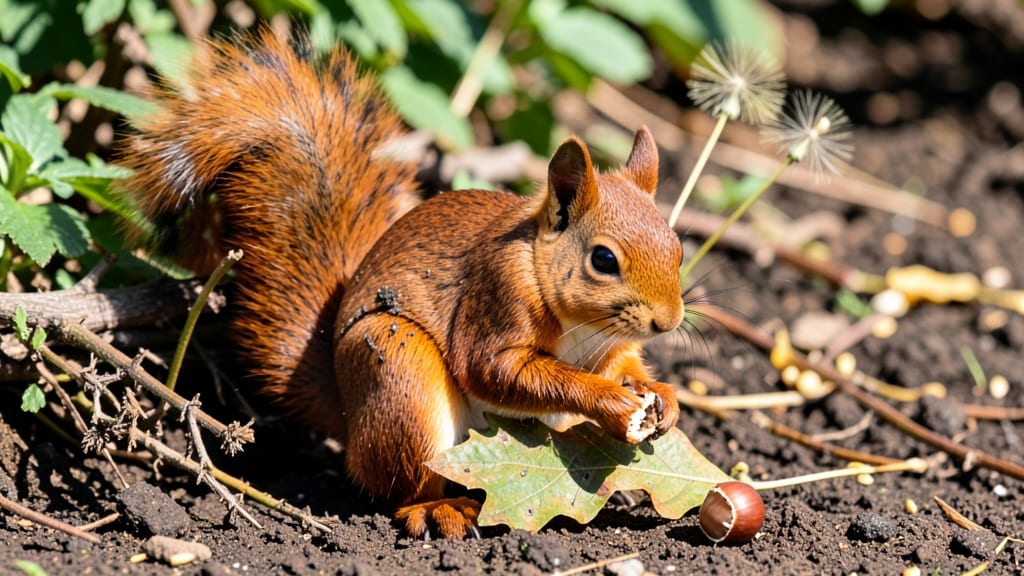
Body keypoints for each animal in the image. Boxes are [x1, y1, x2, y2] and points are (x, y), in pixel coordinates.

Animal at [117, 27, 685, 539]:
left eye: (678, 248)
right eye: (604, 259)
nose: (669, 322)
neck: (580, 323)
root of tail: (348, 419)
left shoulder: (609, 347)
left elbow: (625, 365)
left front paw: (662, 396)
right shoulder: (497, 296)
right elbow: (495, 370)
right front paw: (611, 401)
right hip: (400, 374)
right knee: (403, 483)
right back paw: (440, 509)